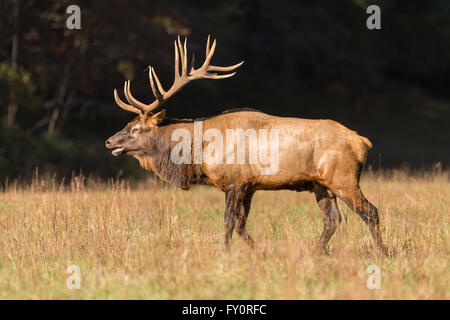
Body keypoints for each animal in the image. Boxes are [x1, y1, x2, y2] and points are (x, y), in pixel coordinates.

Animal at [105, 35, 386, 255]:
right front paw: (259, 252)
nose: (109, 141)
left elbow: (229, 222)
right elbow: (241, 224)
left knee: (370, 211)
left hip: (343, 178)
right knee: (333, 220)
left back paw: (383, 252)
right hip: (321, 184)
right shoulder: (249, 185)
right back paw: (314, 252)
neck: (198, 151)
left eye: (136, 129)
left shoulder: (235, 181)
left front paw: (224, 253)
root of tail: (362, 141)